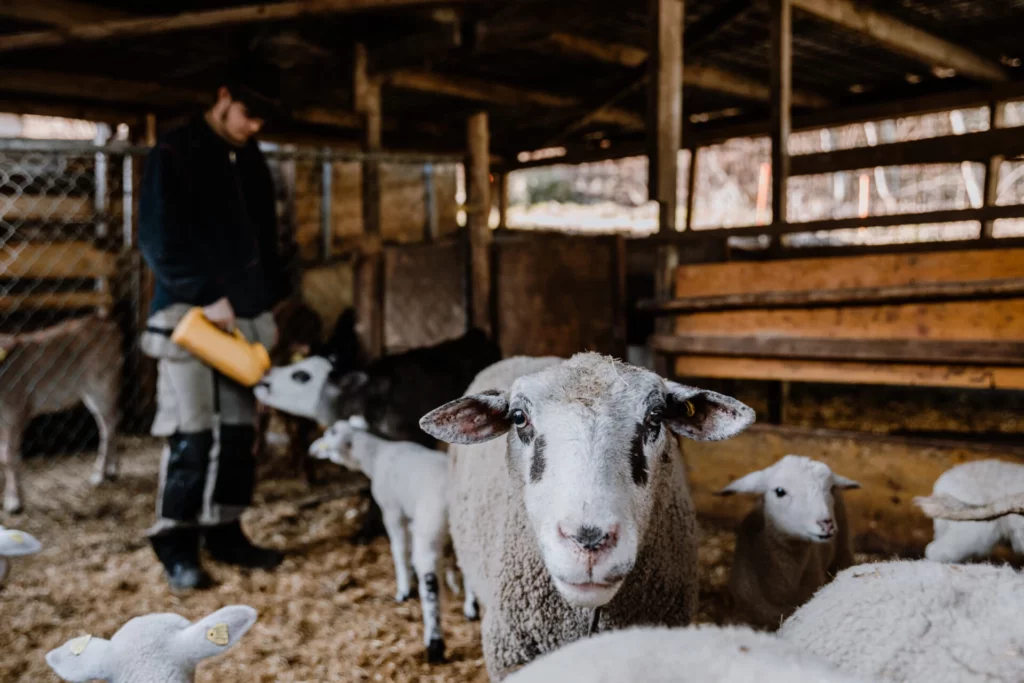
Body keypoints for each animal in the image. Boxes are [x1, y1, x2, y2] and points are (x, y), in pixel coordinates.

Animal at [0, 314, 123, 513]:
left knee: (109, 424)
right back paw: (112, 469)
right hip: (91, 391)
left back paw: (98, 475)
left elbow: (8, 457)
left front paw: (14, 502)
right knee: (108, 422)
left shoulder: (15, 411)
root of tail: (107, 323)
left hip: (102, 384)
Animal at [308, 419, 476, 664]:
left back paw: (434, 645)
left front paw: (404, 589)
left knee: (431, 585)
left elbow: (400, 549)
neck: (376, 455)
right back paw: (472, 609)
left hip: (430, 527)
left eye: (330, 433)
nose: (313, 449)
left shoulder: (393, 511)